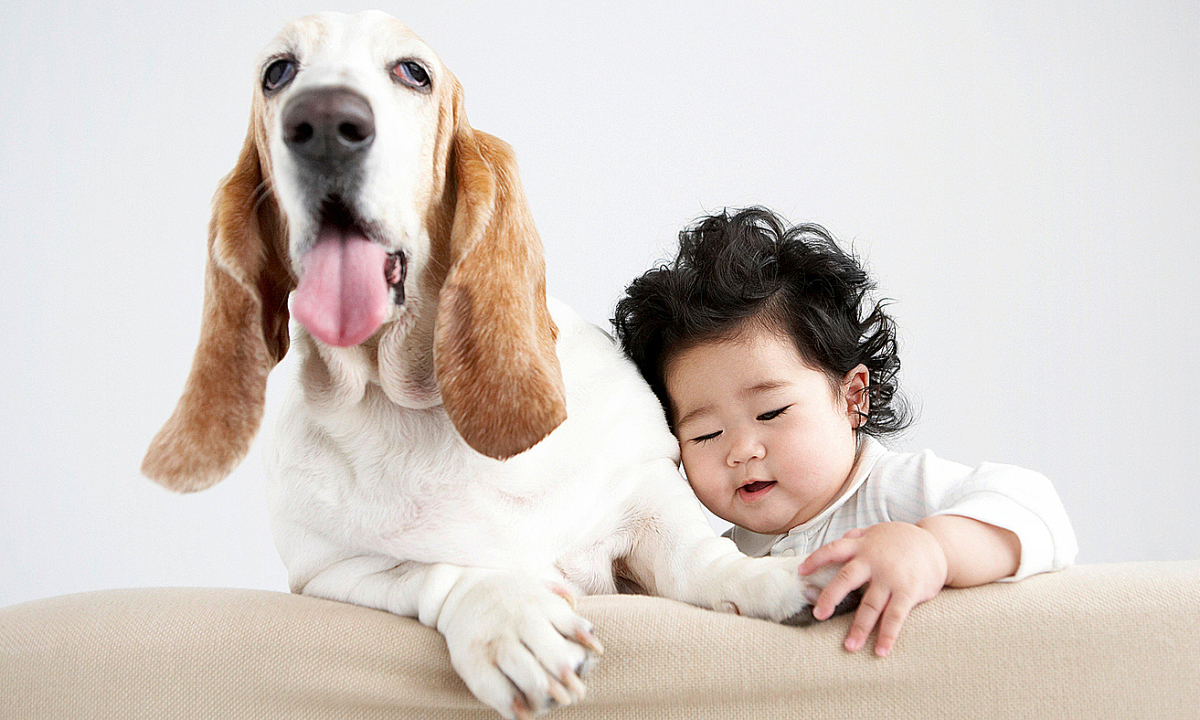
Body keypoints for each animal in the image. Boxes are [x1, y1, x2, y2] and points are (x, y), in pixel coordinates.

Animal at [142, 9, 825, 715]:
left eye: (413, 72)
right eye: (277, 72)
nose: (324, 122)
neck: (415, 406)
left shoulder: (640, 495)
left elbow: (700, 559)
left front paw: (777, 580)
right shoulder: (335, 573)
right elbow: (438, 570)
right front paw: (510, 620)